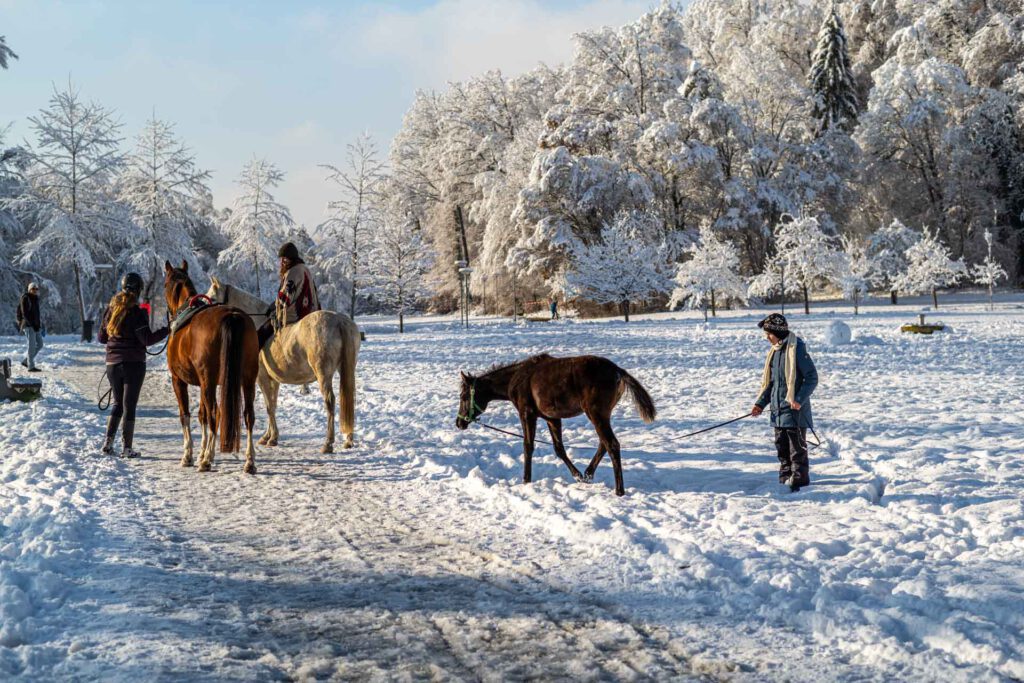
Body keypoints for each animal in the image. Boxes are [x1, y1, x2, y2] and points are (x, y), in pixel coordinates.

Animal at [162, 262, 260, 475]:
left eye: (164, 283)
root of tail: (232, 316)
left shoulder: (179, 380)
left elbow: (187, 415)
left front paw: (190, 455)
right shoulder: (204, 383)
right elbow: (203, 416)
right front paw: (202, 451)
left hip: (208, 380)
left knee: (216, 412)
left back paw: (207, 461)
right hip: (248, 378)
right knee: (248, 415)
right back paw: (249, 461)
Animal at [205, 278, 362, 454]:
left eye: (212, 297)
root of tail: (340, 321)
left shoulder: (262, 378)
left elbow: (269, 406)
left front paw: (272, 438)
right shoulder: (274, 379)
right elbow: (272, 404)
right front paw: (268, 436)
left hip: (323, 375)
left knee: (330, 401)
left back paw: (328, 443)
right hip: (347, 371)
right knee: (347, 398)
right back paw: (348, 440)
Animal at [456, 352, 655, 497]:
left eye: (464, 396)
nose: (459, 422)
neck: (516, 378)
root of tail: (617, 370)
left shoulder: (527, 414)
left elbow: (528, 446)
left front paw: (526, 480)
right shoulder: (552, 418)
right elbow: (559, 449)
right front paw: (578, 476)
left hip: (596, 414)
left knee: (612, 444)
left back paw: (619, 490)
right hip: (601, 416)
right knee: (604, 443)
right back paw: (588, 474)